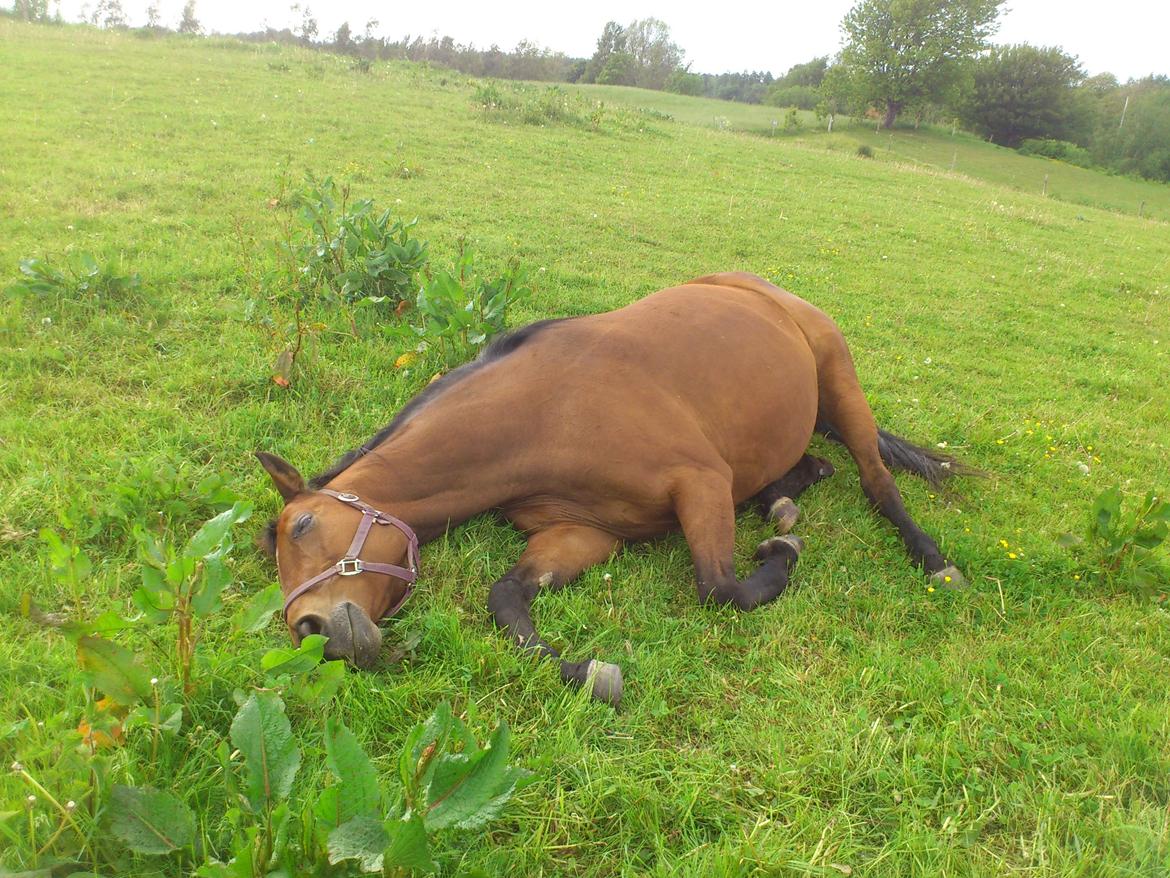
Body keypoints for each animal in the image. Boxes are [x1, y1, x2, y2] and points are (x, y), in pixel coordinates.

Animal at [258, 271, 978, 711]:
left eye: (303, 526)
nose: (311, 631)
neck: (546, 412)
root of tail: (765, 288)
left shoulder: (702, 484)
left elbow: (720, 588)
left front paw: (785, 553)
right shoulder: (584, 531)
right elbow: (506, 597)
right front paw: (590, 674)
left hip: (838, 378)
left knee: (878, 481)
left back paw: (933, 560)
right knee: (812, 465)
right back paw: (783, 492)